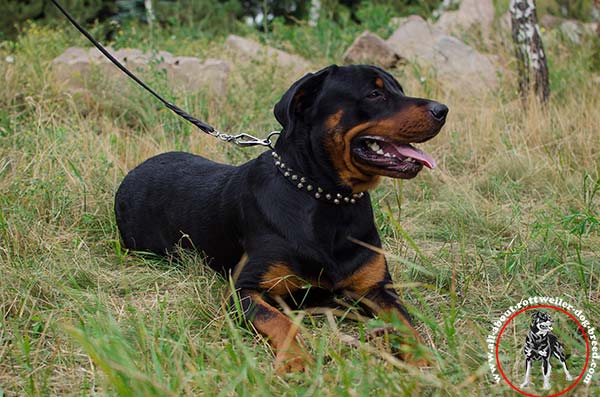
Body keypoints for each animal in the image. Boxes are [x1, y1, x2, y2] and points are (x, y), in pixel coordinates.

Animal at [115, 64, 448, 372]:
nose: (442, 110)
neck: (328, 201)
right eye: (374, 94)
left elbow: (404, 320)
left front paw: (423, 357)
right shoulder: (243, 290)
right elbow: (279, 320)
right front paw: (296, 360)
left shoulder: (377, 287)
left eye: (399, 89)